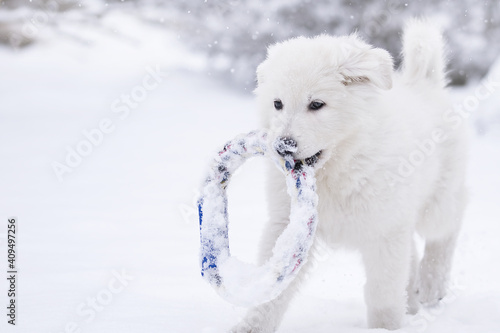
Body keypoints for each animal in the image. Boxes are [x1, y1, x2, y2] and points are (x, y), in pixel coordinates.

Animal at [232, 19, 466, 330]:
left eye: (316, 104)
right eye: (277, 103)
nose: (283, 146)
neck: (337, 168)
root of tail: (424, 81)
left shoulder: (384, 230)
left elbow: (383, 293)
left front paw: (385, 329)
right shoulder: (288, 223)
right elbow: (273, 289)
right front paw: (249, 326)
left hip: (437, 200)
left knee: (447, 228)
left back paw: (431, 285)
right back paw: (414, 300)